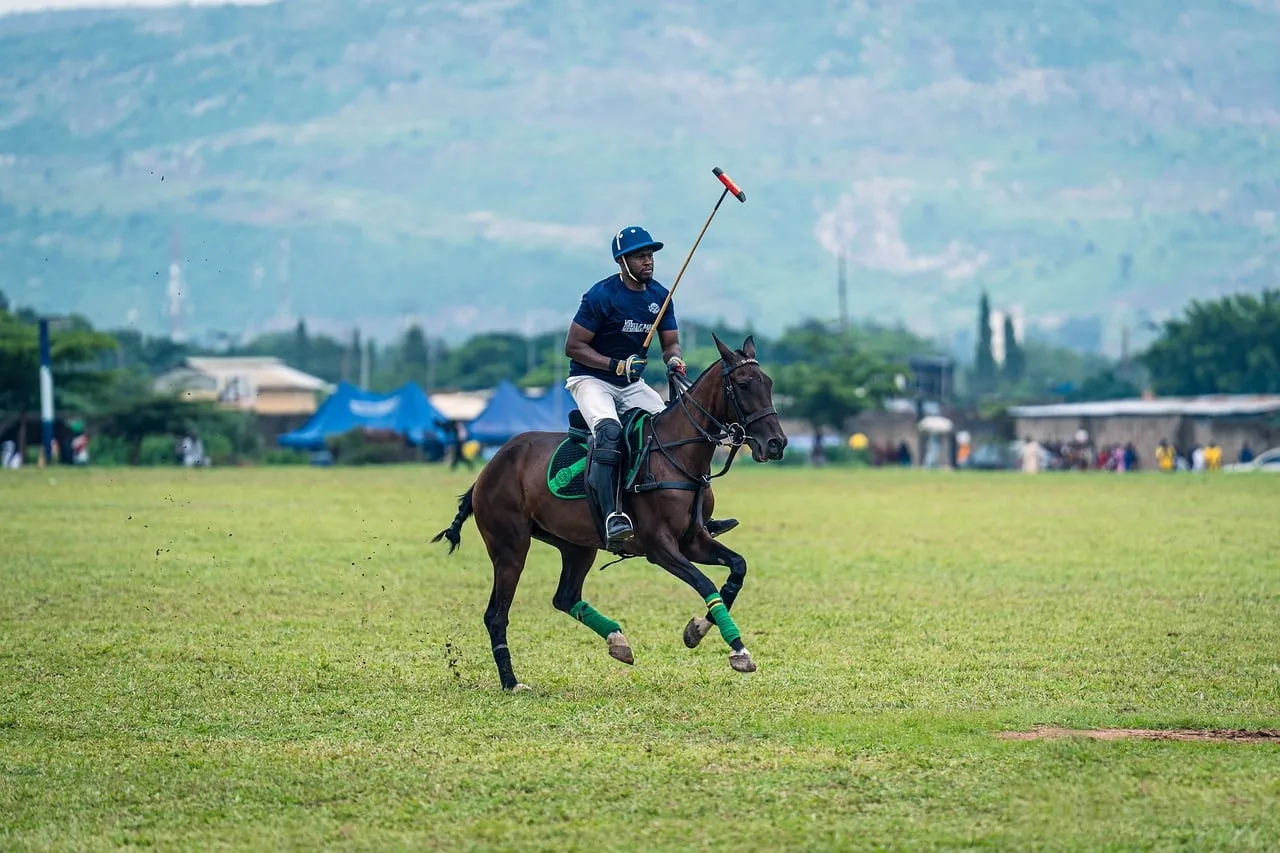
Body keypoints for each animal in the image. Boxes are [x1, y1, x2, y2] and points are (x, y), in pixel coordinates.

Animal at [431, 334, 788, 691]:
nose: (776, 443)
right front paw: (734, 649)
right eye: (743, 384)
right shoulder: (660, 547)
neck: (678, 456)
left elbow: (737, 569)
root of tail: (487, 470)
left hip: (576, 545)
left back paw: (617, 641)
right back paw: (511, 682)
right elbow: (705, 583)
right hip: (510, 547)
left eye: (769, 383)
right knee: (496, 614)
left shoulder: (694, 540)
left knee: (564, 596)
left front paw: (700, 631)